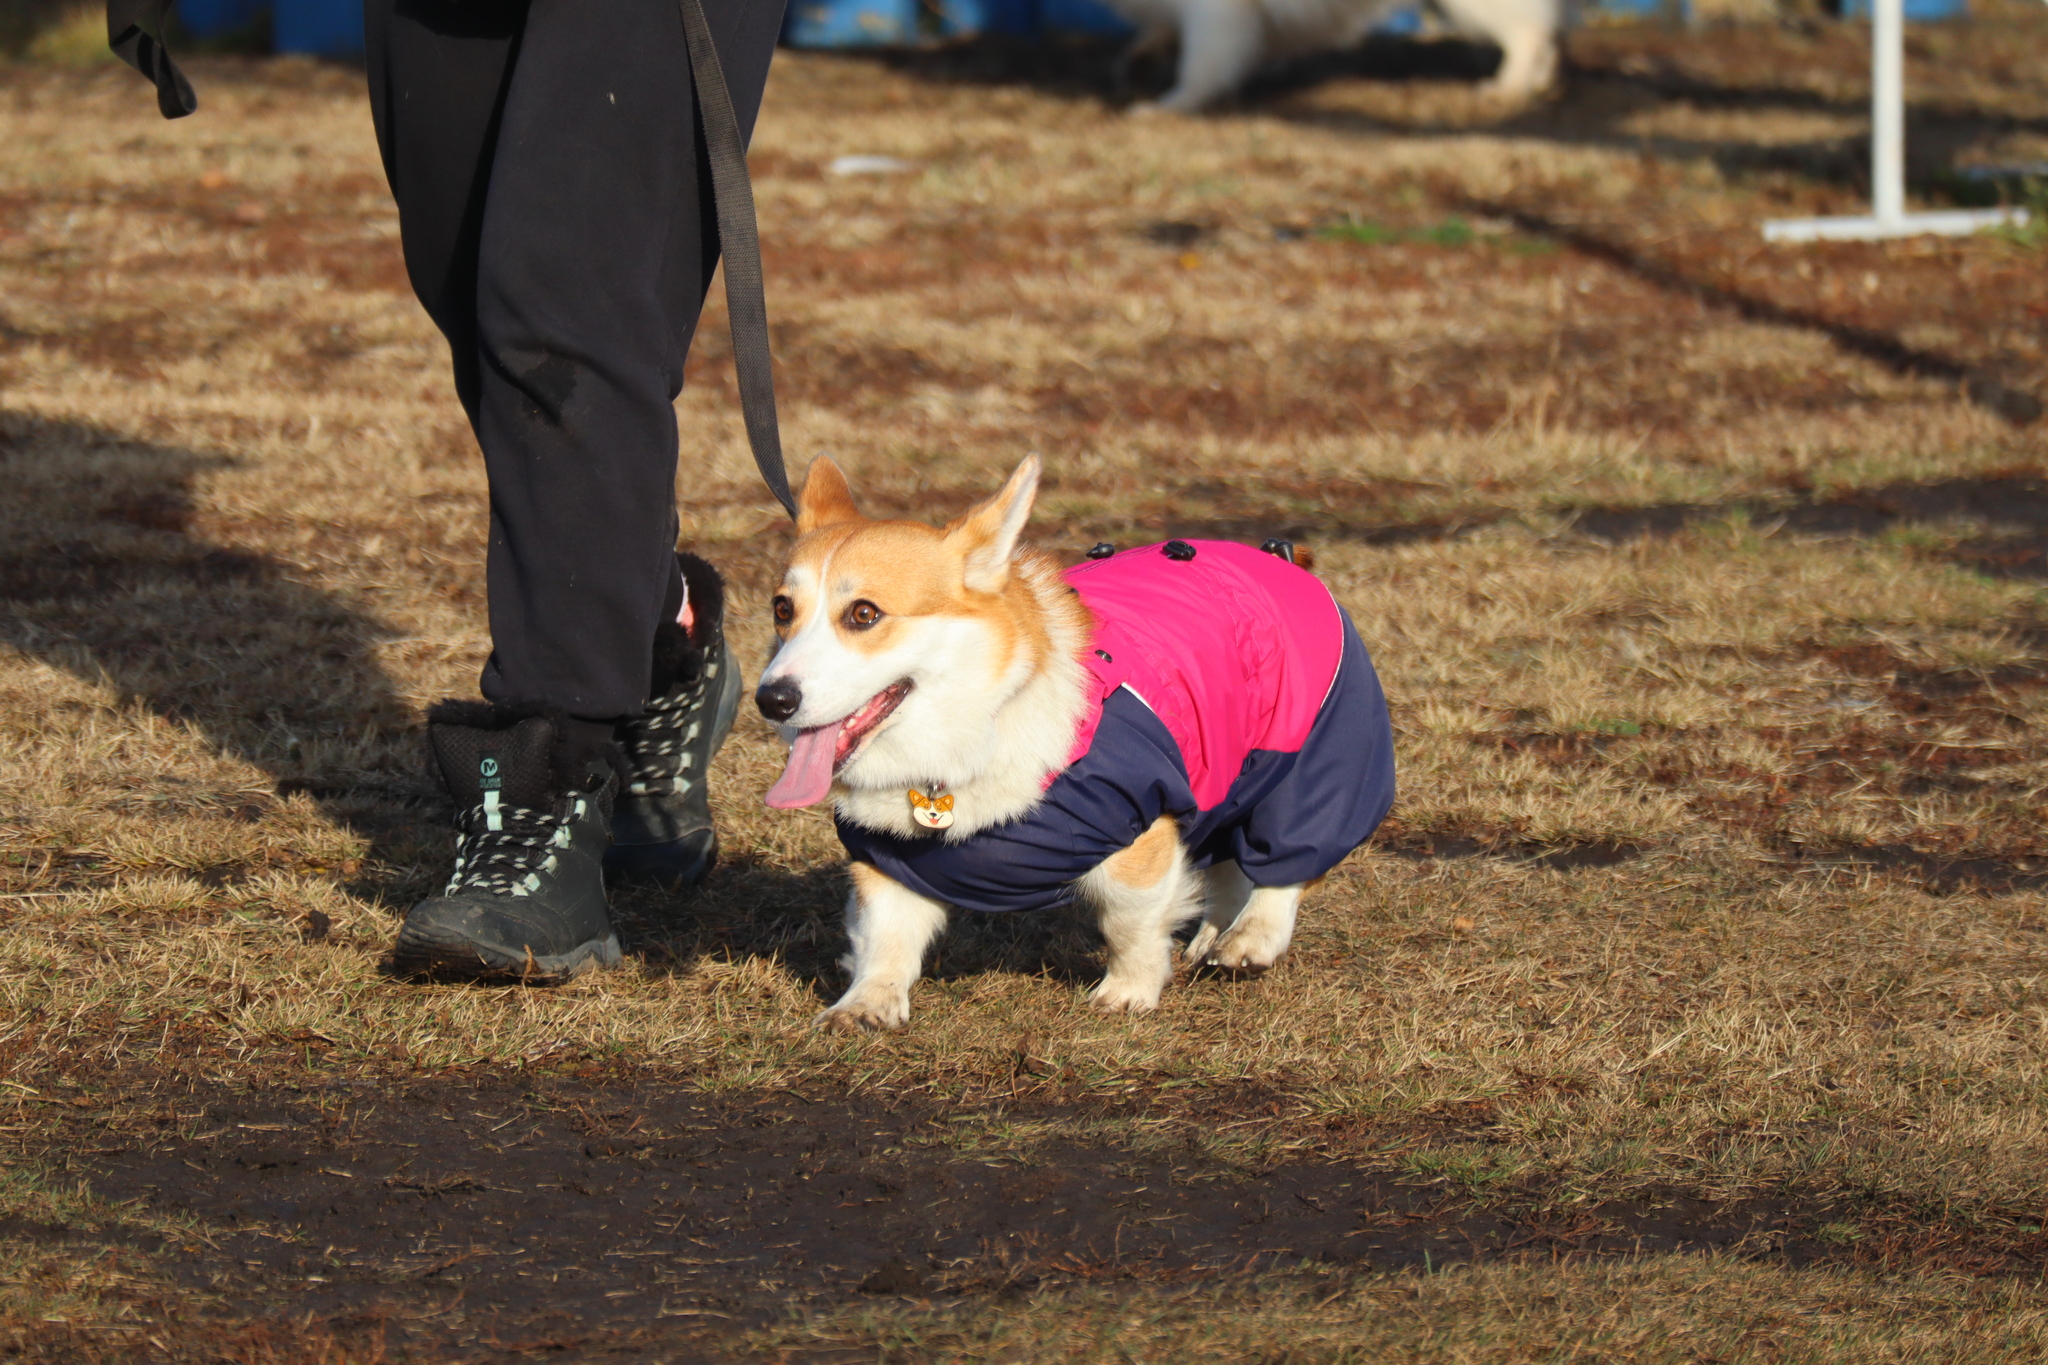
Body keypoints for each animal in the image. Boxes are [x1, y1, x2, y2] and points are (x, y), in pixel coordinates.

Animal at [761, 454, 1400, 1031]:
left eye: (864, 614)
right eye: (782, 609)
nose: (772, 700)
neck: (973, 733)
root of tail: (1283, 560)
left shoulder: (1139, 837)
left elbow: (1130, 925)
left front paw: (1129, 991)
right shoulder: (888, 859)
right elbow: (884, 938)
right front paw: (865, 1004)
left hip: (1314, 752)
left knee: (1287, 857)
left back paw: (1252, 939)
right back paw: (1216, 934)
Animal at [1114, 0, 1556, 114]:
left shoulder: (1216, 17)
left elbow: (1201, 70)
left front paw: (1168, 107)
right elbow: (1156, 40)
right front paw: (1139, 63)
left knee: (1529, 32)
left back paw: (1509, 88)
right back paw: (1538, 82)